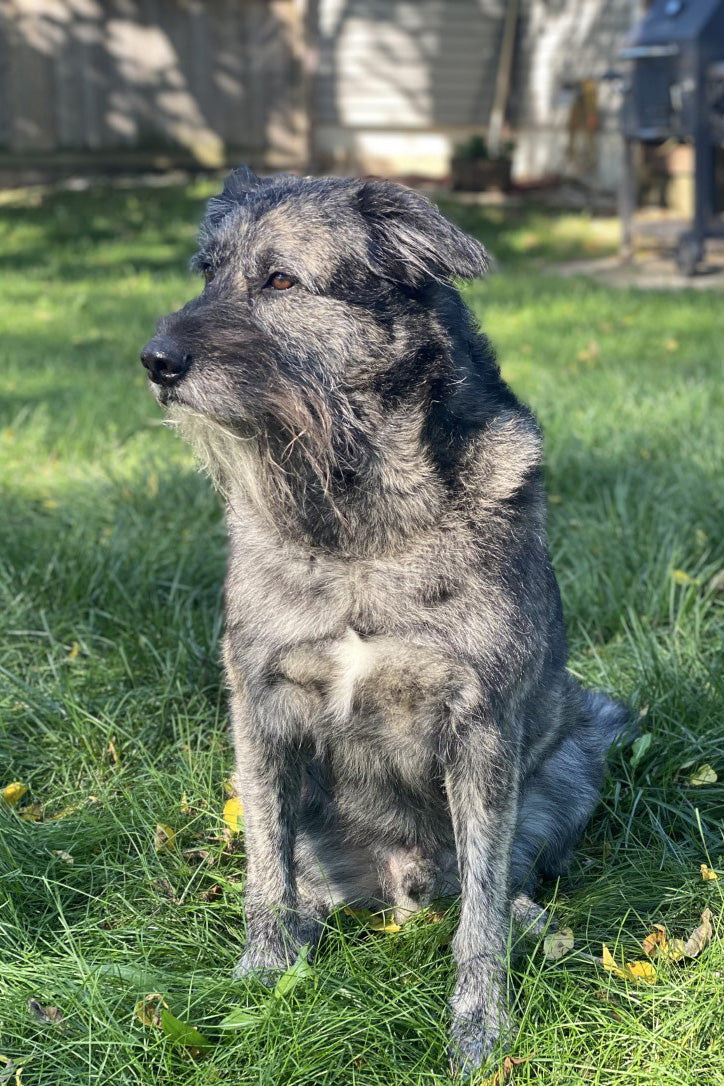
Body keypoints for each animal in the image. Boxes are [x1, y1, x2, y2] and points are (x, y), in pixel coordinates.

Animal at [140, 168, 628, 1073]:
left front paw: (481, 1023)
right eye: (208, 271)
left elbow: (480, 909)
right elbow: (264, 872)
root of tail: (398, 891)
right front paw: (264, 973)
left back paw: (529, 921)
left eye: (281, 280)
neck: (361, 530)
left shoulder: (481, 731)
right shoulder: (259, 713)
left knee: (501, 881)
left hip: (572, 765)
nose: (157, 362)